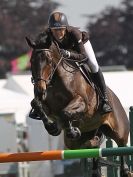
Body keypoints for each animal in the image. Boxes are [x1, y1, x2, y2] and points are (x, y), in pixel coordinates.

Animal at [25, 36, 130, 176]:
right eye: (31, 61)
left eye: (48, 60)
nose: (39, 90)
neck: (57, 80)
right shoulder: (48, 106)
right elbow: (36, 104)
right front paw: (52, 127)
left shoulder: (82, 103)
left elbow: (65, 112)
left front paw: (70, 130)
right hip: (79, 139)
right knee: (92, 146)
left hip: (119, 132)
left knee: (122, 147)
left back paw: (126, 170)